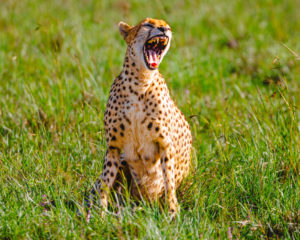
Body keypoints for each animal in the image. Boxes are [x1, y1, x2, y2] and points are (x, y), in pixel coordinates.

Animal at [89, 17, 192, 218]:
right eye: (148, 25)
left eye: (167, 26)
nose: (165, 29)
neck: (140, 82)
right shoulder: (113, 146)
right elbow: (105, 180)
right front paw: (100, 214)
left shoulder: (165, 144)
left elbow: (169, 180)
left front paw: (172, 212)